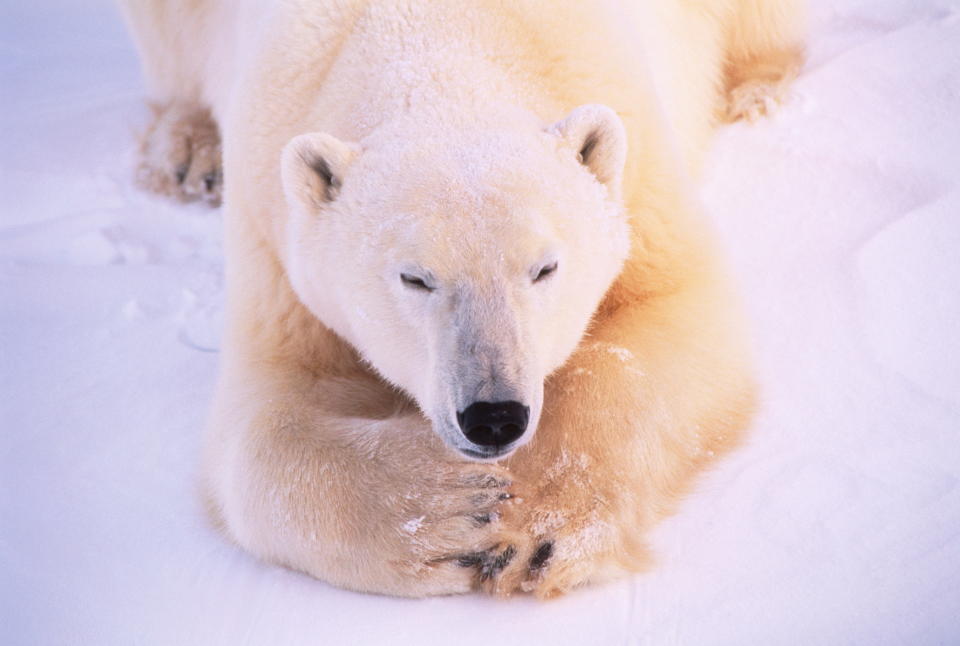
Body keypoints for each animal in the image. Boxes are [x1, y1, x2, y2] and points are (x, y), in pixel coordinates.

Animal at [124, 0, 808, 596]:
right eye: (416, 278)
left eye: (544, 268)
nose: (494, 416)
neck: (436, 38)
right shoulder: (274, 230)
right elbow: (264, 421)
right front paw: (453, 513)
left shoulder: (635, 168)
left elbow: (670, 316)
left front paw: (534, 526)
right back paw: (187, 153)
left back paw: (756, 90)